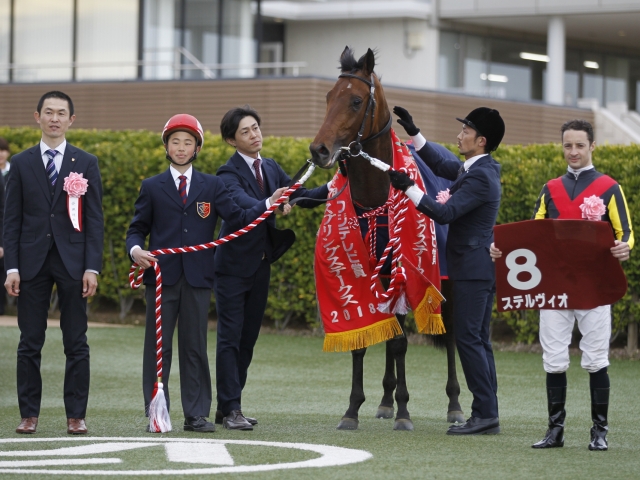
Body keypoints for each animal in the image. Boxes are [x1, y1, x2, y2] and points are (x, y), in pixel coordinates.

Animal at [308, 47, 462, 432]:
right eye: (328, 97)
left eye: (356, 100)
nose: (319, 150)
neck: (376, 199)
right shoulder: (367, 271)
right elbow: (369, 338)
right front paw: (353, 409)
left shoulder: (403, 272)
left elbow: (399, 345)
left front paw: (405, 412)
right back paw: (385, 400)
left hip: (445, 279)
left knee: (452, 332)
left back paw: (454, 404)